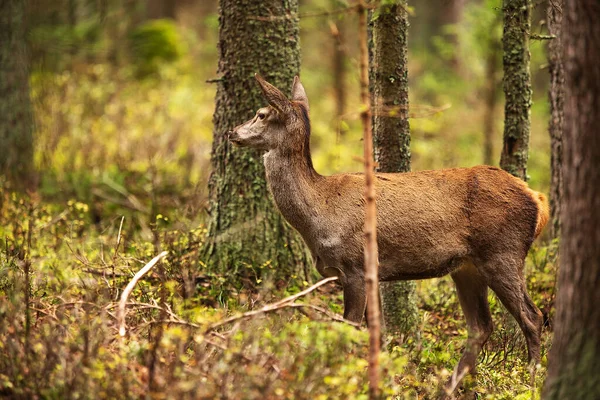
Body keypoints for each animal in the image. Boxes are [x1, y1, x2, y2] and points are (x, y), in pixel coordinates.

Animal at [227, 74, 552, 388]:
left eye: (261, 114)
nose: (232, 132)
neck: (319, 214)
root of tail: (538, 199)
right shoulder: (372, 273)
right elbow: (377, 333)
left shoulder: (356, 266)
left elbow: (350, 327)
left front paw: (343, 376)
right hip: (467, 267)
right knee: (480, 327)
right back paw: (449, 387)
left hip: (502, 252)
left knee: (533, 316)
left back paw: (530, 379)